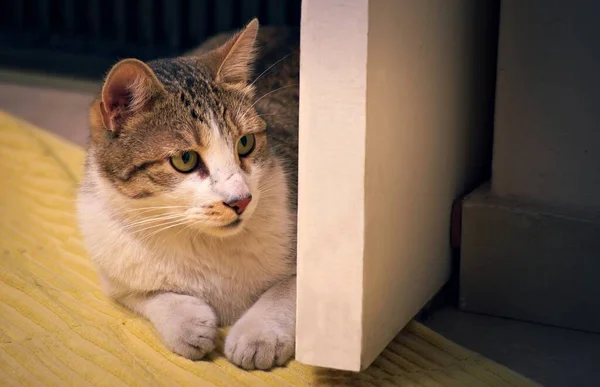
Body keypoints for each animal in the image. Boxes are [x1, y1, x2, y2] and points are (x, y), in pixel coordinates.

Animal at [75, 19, 300, 372]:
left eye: (245, 143)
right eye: (185, 159)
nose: (241, 200)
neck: (201, 241)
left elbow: (288, 289)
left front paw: (259, 332)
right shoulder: (116, 274)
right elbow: (149, 296)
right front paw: (187, 323)